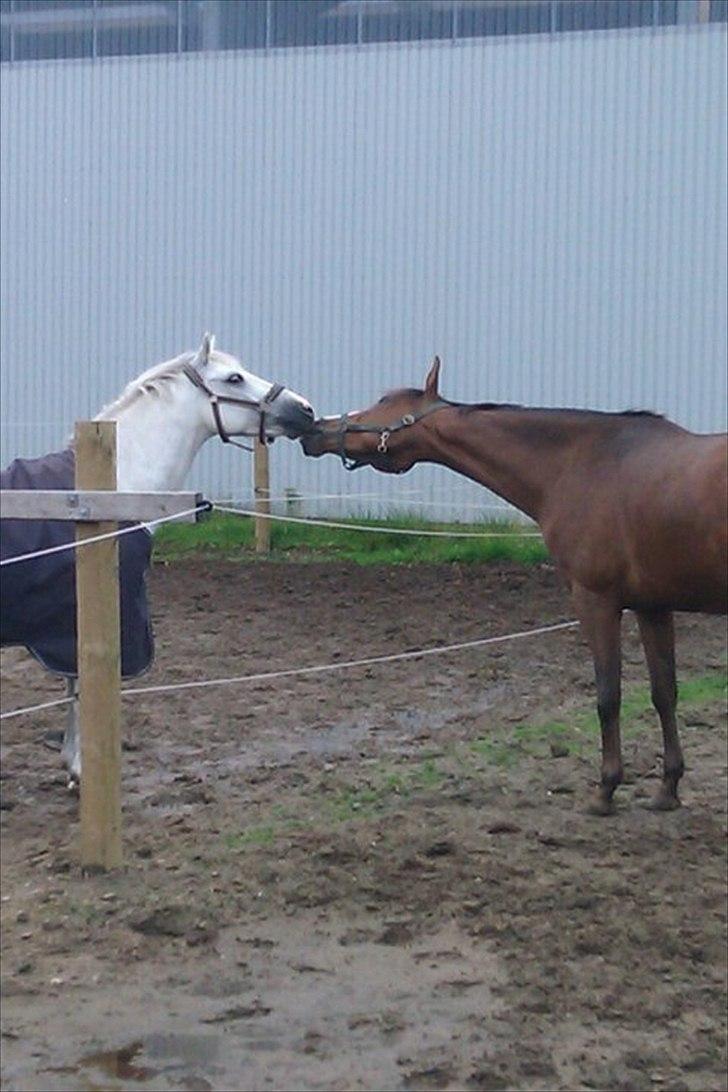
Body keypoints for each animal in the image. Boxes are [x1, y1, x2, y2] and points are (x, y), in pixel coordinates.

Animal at [303, 362, 728, 816]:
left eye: (384, 403)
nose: (316, 428)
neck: (582, 464)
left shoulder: (595, 601)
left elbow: (608, 696)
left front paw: (605, 790)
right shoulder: (652, 606)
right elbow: (664, 693)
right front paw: (667, 788)